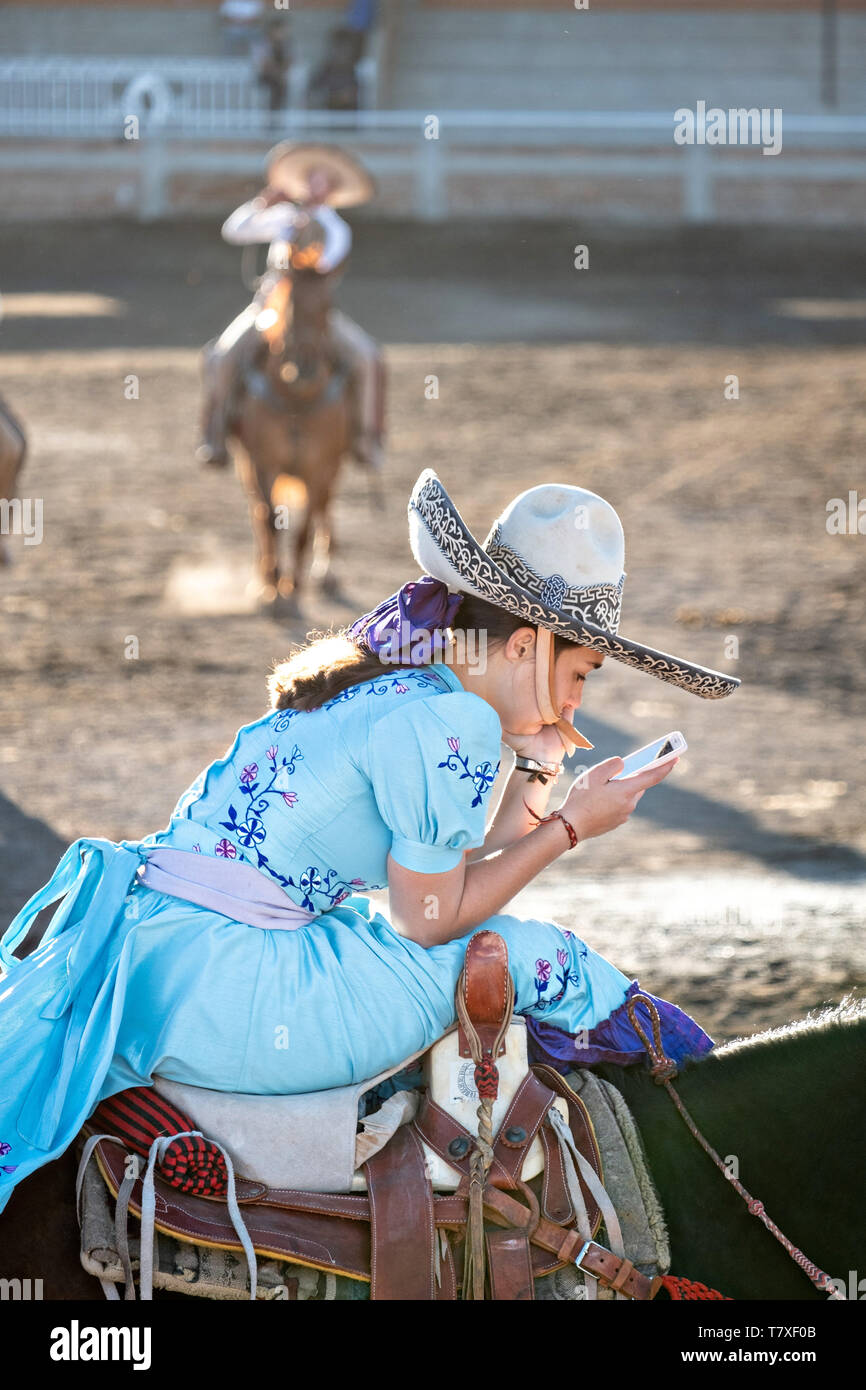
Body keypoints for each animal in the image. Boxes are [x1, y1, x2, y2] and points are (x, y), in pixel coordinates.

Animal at [229, 257, 354, 614]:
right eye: (289, 305)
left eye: (328, 306)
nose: (306, 368)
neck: (296, 401)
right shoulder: (262, 465)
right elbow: (270, 520)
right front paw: (272, 585)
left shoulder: (320, 469)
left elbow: (304, 527)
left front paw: (294, 584)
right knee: (258, 515)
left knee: (325, 507)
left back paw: (325, 574)